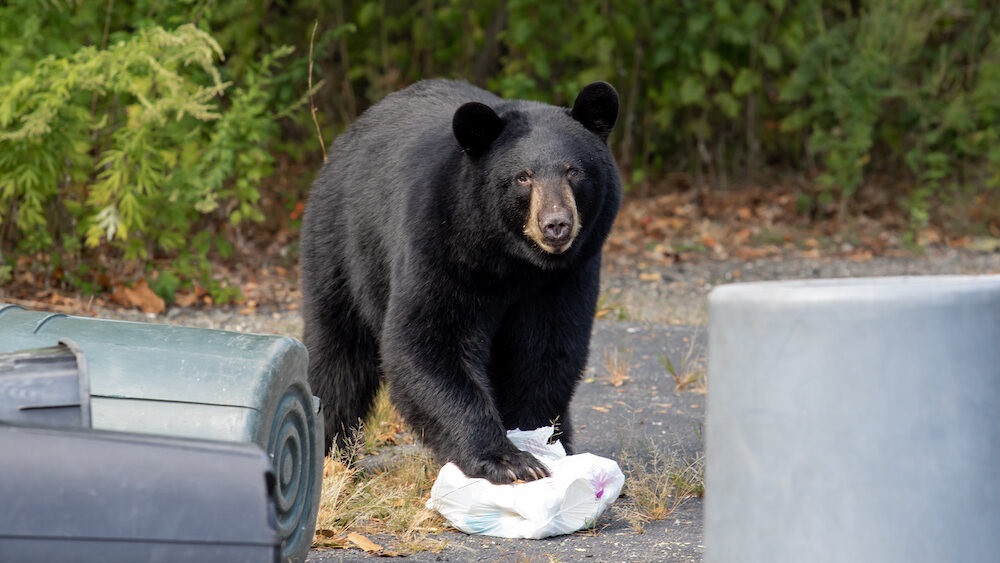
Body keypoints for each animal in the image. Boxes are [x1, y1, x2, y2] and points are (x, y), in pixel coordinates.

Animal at [300, 79, 620, 484]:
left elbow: (546, 350)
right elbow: (428, 341)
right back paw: (332, 456)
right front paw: (509, 460)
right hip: (343, 246)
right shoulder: (441, 244)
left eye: (574, 171)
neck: (512, 260)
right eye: (523, 176)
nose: (556, 224)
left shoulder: (567, 275)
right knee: (338, 355)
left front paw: (537, 441)